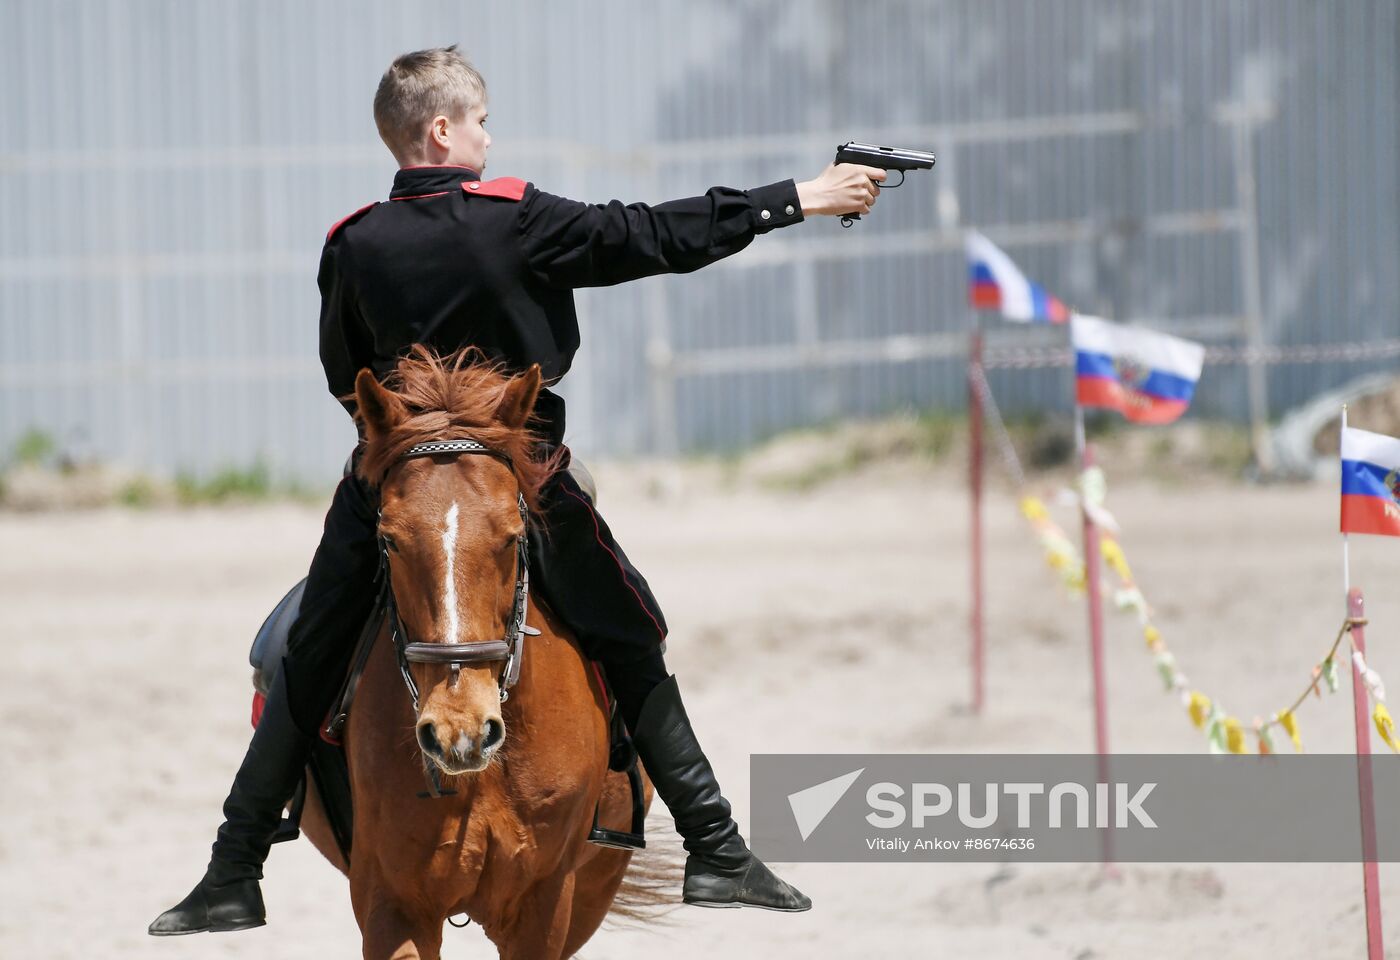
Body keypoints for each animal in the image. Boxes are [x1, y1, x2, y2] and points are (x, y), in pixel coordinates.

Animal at [291, 351, 666, 960]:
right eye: (388, 540)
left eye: (514, 537)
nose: (459, 731)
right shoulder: (392, 903)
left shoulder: (545, 906)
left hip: (595, 887)